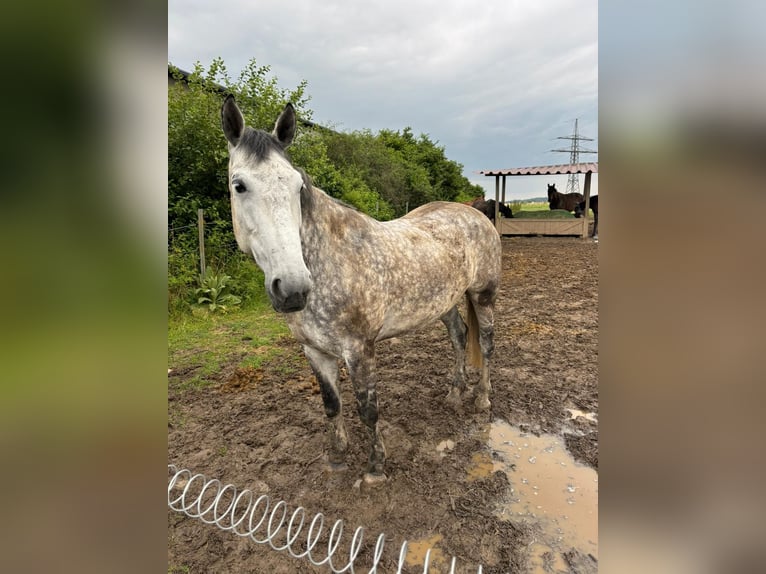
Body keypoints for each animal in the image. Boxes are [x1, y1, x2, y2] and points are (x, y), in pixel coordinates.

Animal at [220, 95, 504, 486]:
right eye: (239, 186)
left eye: (296, 186)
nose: (292, 288)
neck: (328, 261)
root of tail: (475, 214)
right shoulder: (314, 351)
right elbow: (332, 404)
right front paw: (337, 457)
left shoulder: (360, 350)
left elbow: (368, 409)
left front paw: (375, 468)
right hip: (443, 303)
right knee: (460, 337)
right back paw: (454, 393)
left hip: (483, 296)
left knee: (487, 345)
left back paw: (481, 400)